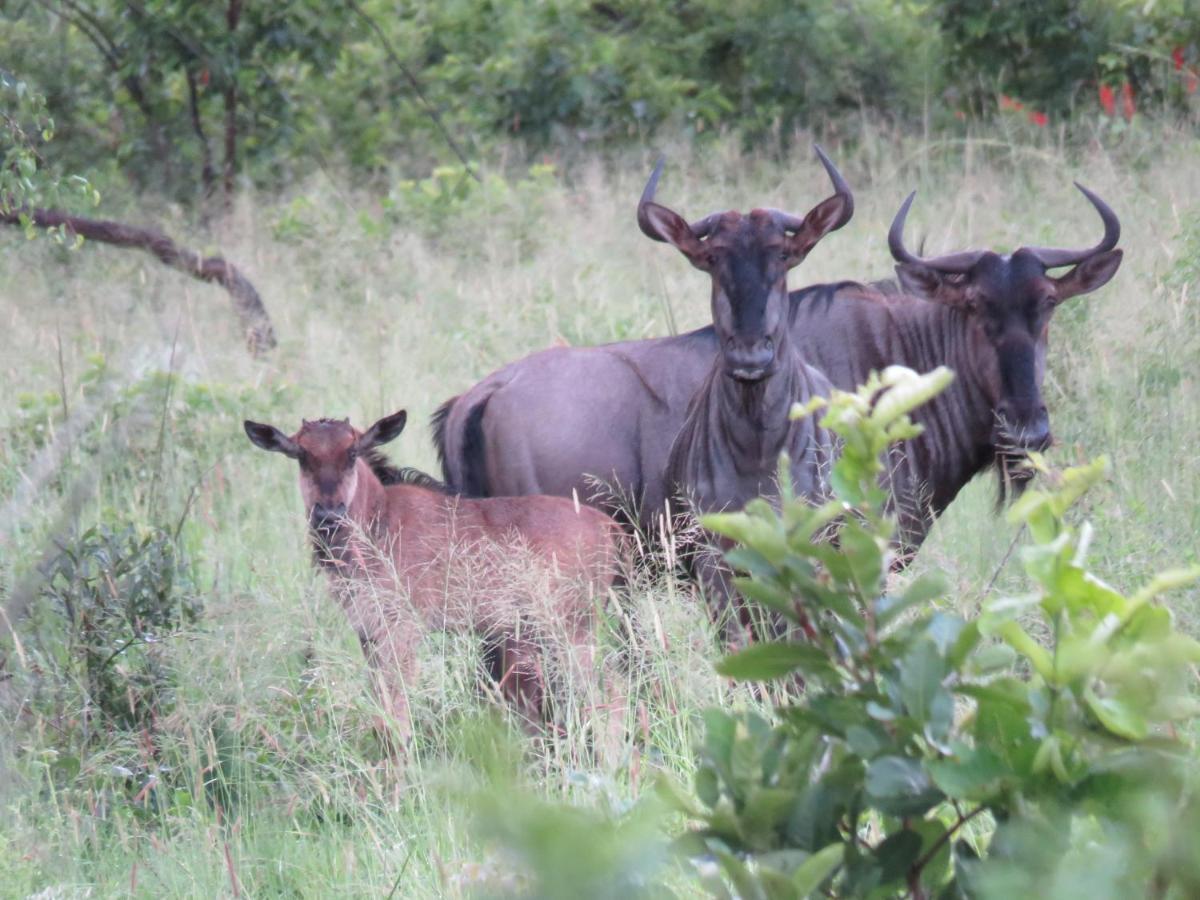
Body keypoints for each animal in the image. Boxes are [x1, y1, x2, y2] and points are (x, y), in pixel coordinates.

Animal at [242, 412, 619, 744]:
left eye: (351, 452)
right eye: (301, 455)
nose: (329, 514)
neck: (377, 525)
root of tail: (610, 528)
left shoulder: (404, 630)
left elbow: (399, 722)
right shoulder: (368, 634)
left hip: (572, 628)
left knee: (606, 695)